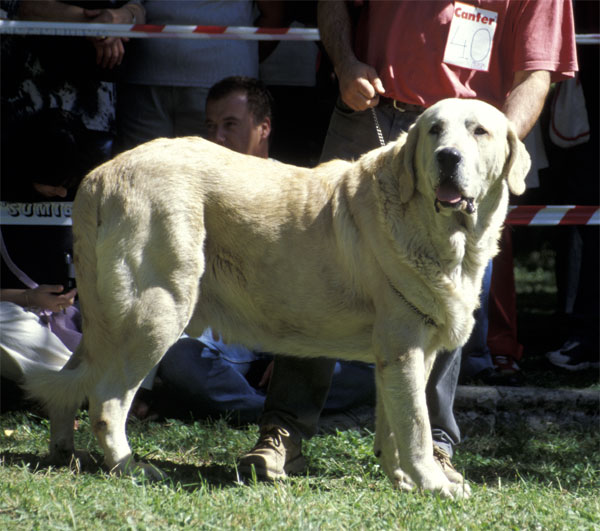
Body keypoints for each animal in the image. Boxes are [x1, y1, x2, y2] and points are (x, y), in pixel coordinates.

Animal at [23, 98, 528, 498]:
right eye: (435, 130)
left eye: (479, 131)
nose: (448, 157)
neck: (438, 229)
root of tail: (98, 178)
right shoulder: (405, 348)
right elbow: (417, 428)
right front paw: (433, 485)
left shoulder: (404, 354)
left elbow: (395, 424)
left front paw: (403, 480)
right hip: (155, 313)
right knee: (106, 401)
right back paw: (131, 467)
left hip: (106, 320)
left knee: (68, 381)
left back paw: (63, 453)